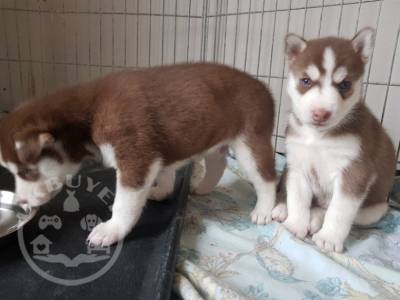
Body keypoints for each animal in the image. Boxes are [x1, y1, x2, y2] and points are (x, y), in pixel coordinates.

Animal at [0, 63, 278, 246]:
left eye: (26, 172)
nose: (19, 203)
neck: (89, 114)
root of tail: (264, 86)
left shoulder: (136, 157)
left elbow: (124, 203)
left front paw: (112, 229)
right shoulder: (157, 151)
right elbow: (166, 171)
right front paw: (162, 190)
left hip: (250, 140)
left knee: (266, 178)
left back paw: (264, 210)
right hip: (215, 137)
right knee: (217, 161)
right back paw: (204, 187)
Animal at [272, 28, 396, 253]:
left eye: (345, 84)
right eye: (306, 81)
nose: (321, 113)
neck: (317, 137)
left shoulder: (355, 172)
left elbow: (339, 210)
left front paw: (329, 238)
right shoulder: (298, 165)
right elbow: (297, 199)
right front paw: (295, 224)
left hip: (375, 209)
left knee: (329, 208)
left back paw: (316, 220)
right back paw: (282, 208)